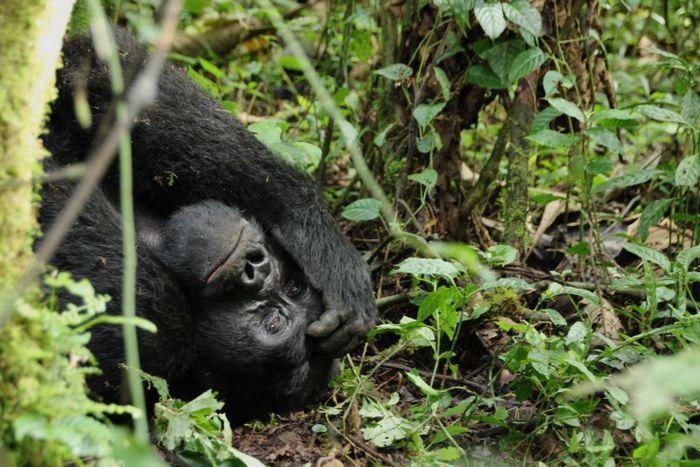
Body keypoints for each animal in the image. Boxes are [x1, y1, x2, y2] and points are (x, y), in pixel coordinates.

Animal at [39, 28, 378, 424]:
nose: (256, 265)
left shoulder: (157, 339)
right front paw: (316, 236)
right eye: (295, 286)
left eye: (273, 323)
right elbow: (104, 66)